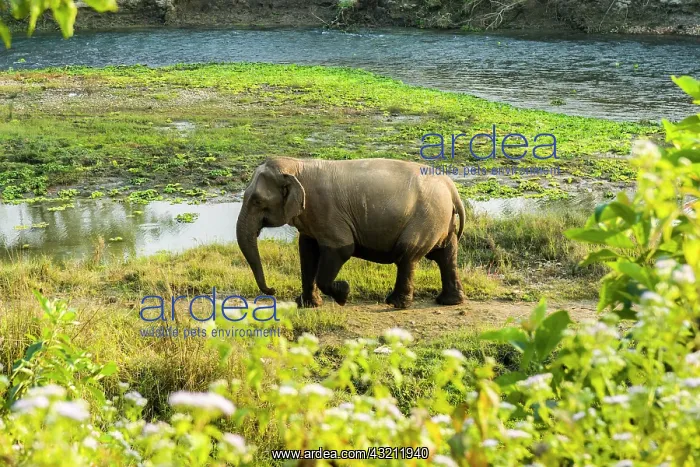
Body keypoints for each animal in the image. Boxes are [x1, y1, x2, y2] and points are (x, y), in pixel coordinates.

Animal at [236, 157, 467, 309]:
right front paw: (308, 304)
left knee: (408, 255)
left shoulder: (327, 212)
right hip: (439, 219)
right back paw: (449, 301)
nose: (273, 290)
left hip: (426, 217)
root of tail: (451, 188)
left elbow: (342, 249)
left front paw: (343, 294)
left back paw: (395, 303)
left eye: (257, 201)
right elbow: (307, 251)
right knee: (445, 254)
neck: (297, 165)